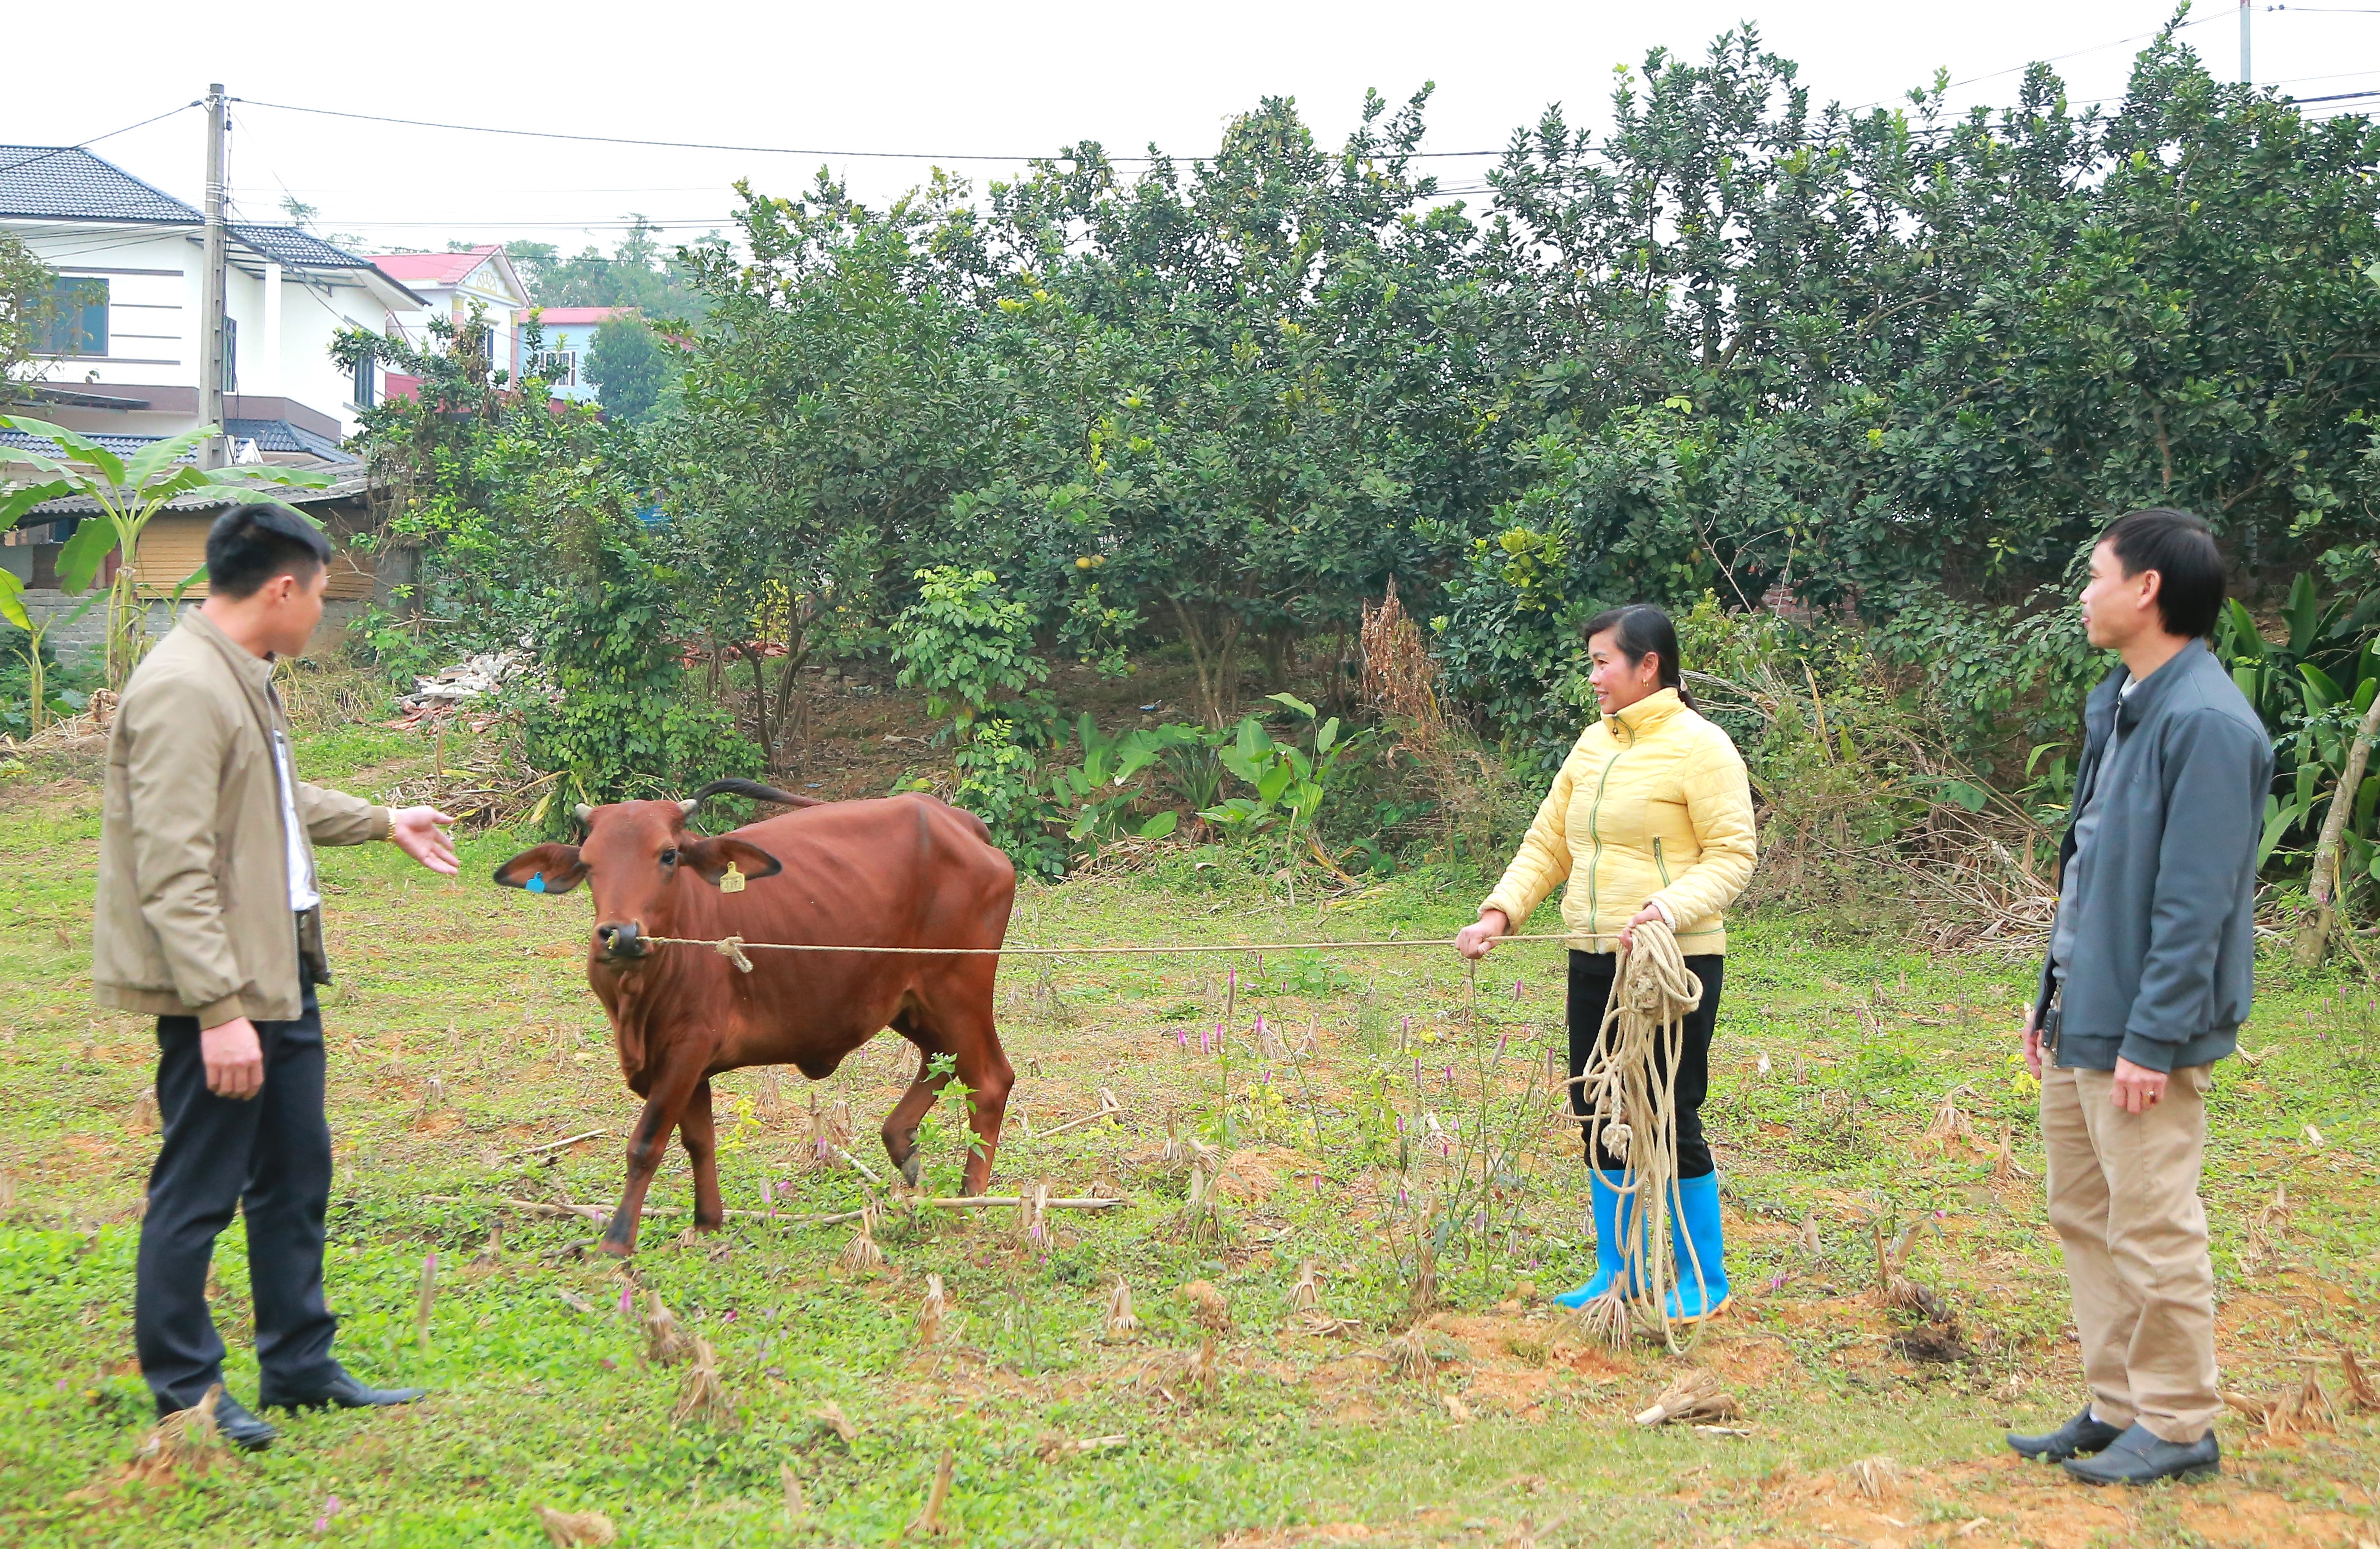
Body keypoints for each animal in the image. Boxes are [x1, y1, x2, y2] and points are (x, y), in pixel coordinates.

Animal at [497, 780, 1019, 1256]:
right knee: (940, 1057)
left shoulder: (687, 1047)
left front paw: (617, 1239)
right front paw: (707, 1221)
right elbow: (699, 1139)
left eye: (668, 856)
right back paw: (905, 1148)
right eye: (588, 864)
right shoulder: (688, 1063)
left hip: (958, 989)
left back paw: (970, 1199)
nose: (620, 935)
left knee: (990, 1078)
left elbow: (646, 1142)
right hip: (908, 998)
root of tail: (959, 821)